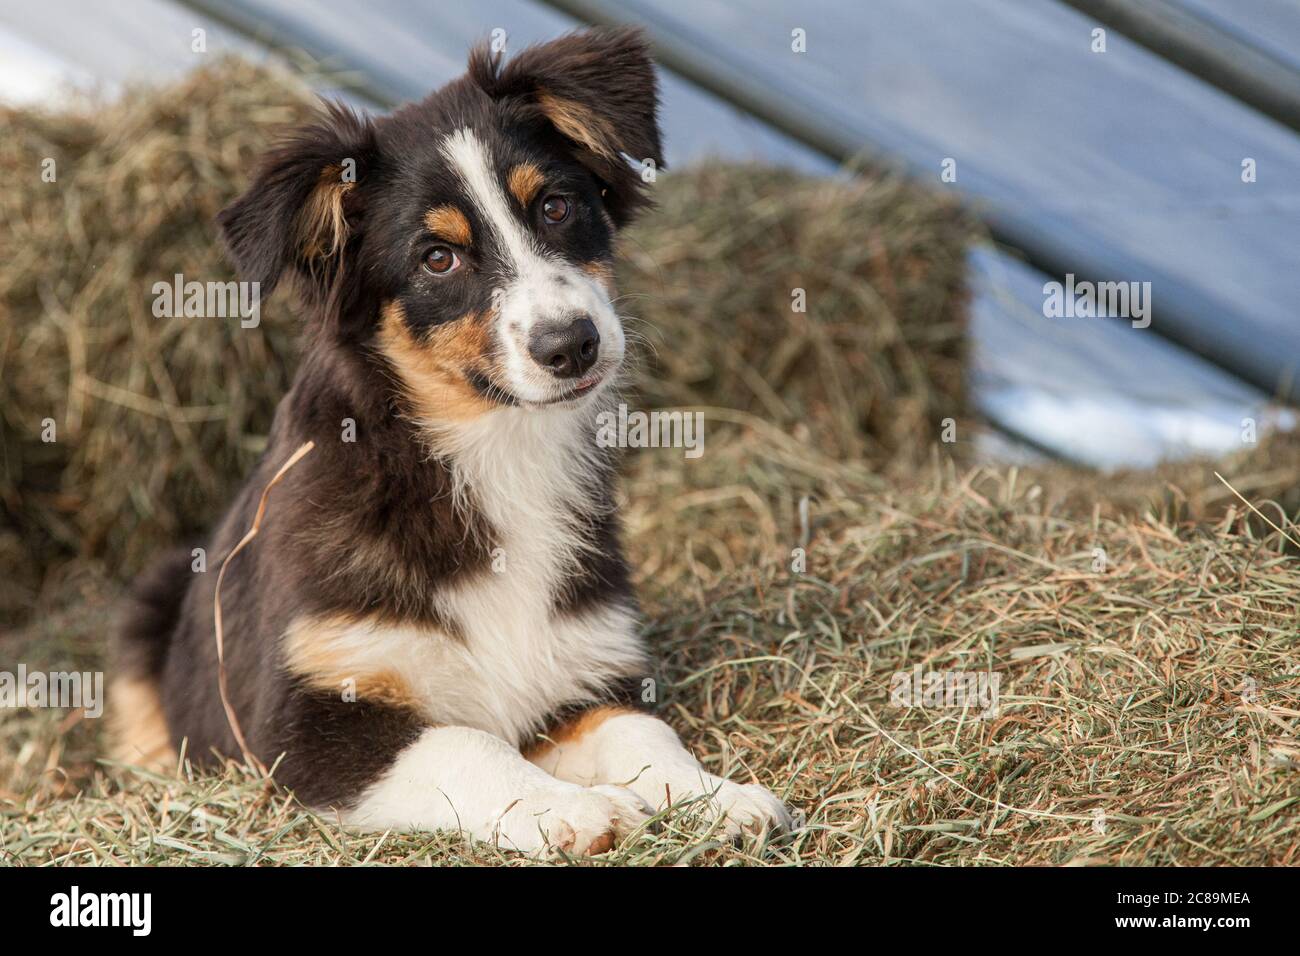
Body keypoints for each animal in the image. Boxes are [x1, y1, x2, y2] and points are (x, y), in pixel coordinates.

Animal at [116, 27, 790, 853]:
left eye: (557, 207)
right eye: (438, 258)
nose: (572, 345)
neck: (493, 450)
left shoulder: (582, 673)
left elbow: (641, 733)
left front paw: (717, 797)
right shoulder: (305, 725)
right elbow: (466, 745)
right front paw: (574, 809)